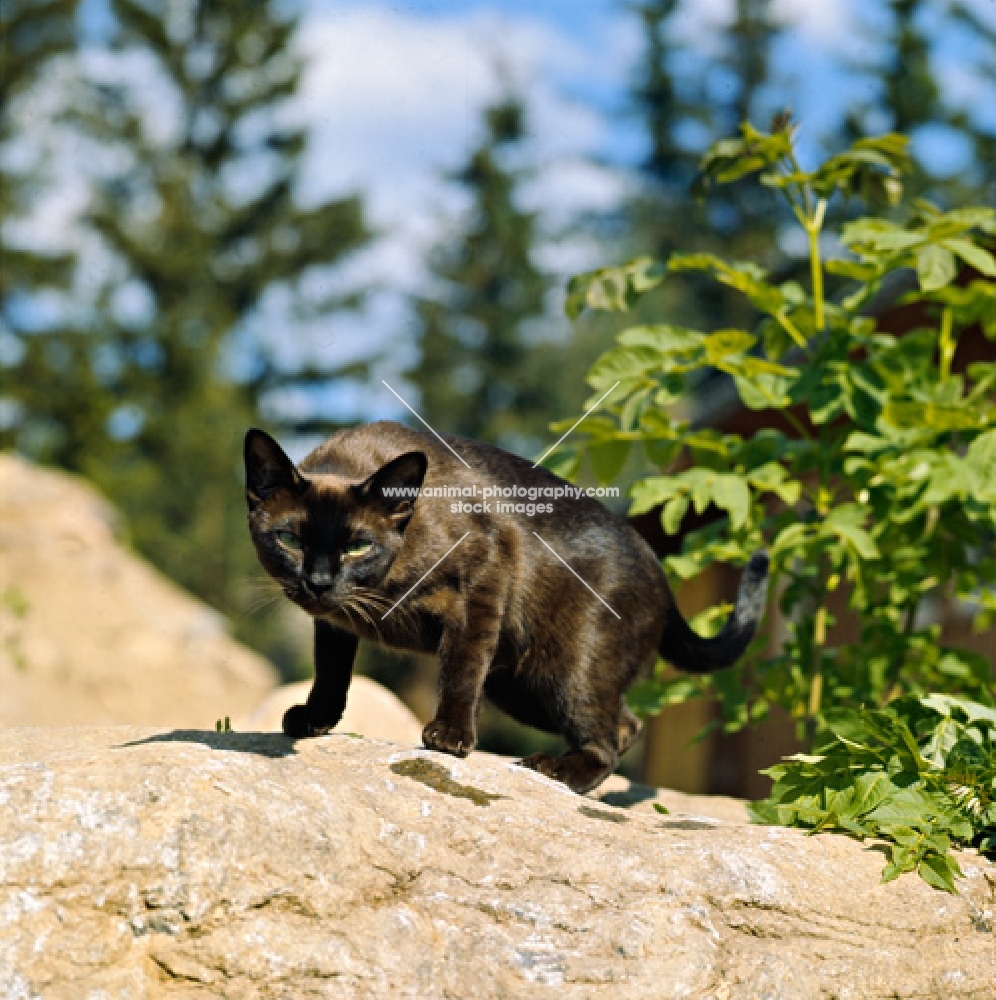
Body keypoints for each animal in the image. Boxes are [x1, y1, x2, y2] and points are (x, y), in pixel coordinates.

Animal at [243, 418, 772, 792]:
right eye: (290, 540)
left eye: (356, 546)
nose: (318, 582)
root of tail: (661, 570)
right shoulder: (337, 620)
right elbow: (330, 673)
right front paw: (314, 721)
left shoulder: (481, 584)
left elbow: (459, 671)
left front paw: (449, 739)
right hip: (520, 687)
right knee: (625, 724)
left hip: (562, 675)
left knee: (606, 735)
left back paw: (556, 772)